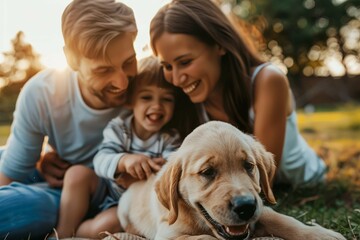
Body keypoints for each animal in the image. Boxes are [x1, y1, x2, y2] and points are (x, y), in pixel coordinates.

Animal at [119, 122, 346, 240]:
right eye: (207, 172)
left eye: (248, 166)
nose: (245, 207)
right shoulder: (168, 234)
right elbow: (206, 239)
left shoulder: (261, 207)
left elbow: (283, 219)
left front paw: (320, 234)